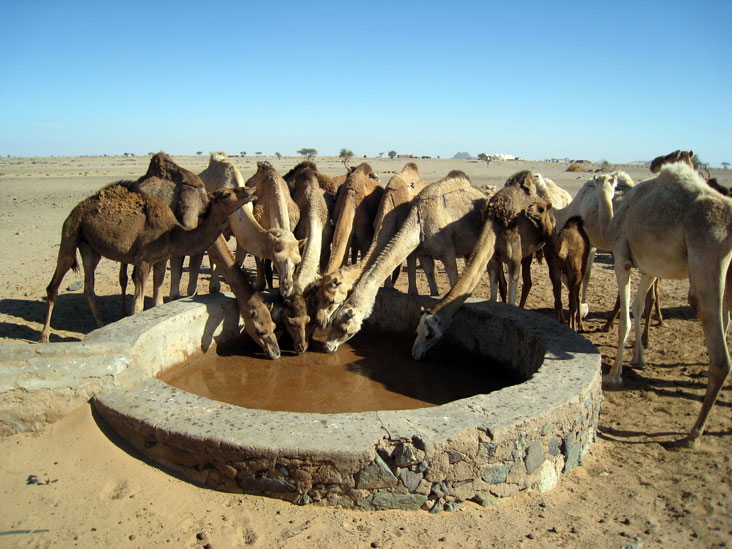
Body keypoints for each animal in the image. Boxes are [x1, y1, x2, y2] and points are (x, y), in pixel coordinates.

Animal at [41, 182, 258, 340]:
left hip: (90, 248)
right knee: (54, 284)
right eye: (226, 194)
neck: (171, 234)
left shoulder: (161, 260)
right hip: (70, 232)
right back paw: (44, 337)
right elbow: (137, 305)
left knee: (89, 288)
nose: (250, 190)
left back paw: (100, 327)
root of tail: (77, 208)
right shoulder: (143, 261)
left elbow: (157, 301)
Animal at [322, 171, 492, 352]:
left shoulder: (448, 253)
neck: (419, 222)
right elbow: (431, 279)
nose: (327, 346)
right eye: (334, 322)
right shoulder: (424, 253)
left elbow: (454, 279)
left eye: (344, 328)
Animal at [412, 171, 556, 360]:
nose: (415, 354)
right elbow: (494, 288)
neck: (495, 226)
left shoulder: (514, 259)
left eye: (429, 335)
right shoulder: (493, 258)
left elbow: (511, 292)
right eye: (417, 330)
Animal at [596, 162, 732, 446]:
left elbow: (625, 320)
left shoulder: (622, 259)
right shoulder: (648, 268)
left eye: (603, 183)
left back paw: (693, 433)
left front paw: (614, 374)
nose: (599, 182)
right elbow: (637, 308)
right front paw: (639, 358)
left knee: (718, 348)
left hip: (707, 250)